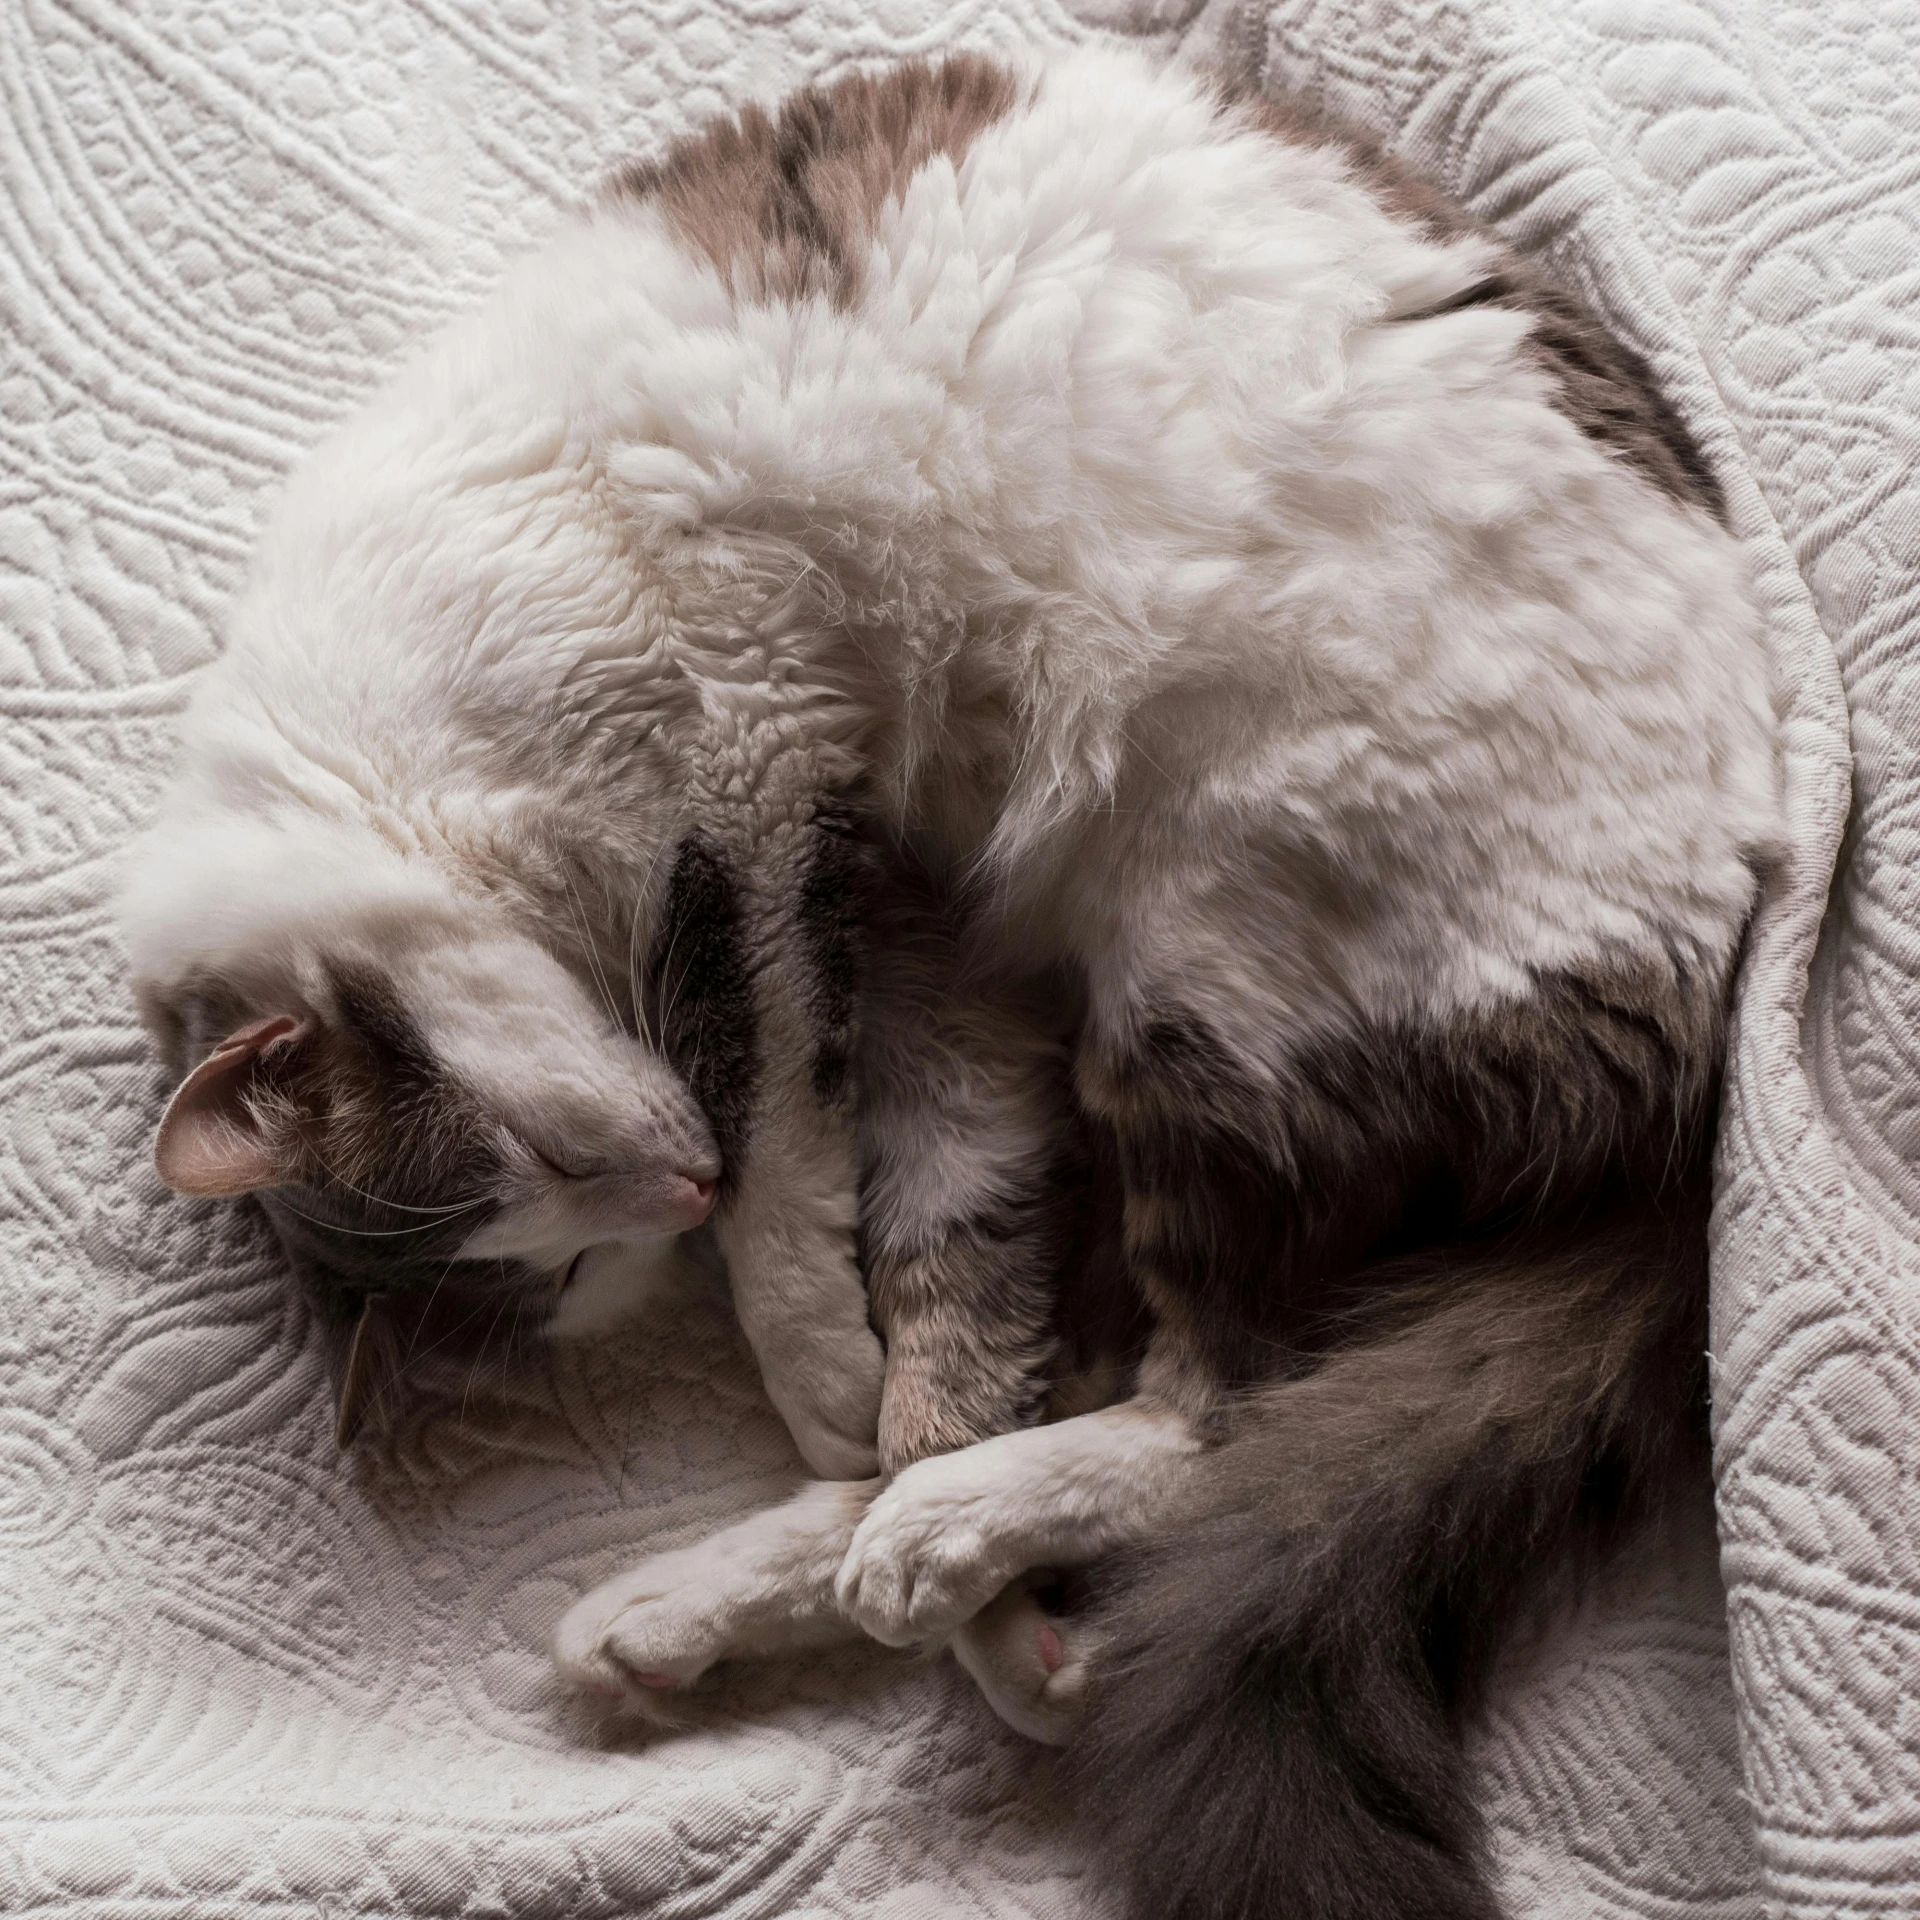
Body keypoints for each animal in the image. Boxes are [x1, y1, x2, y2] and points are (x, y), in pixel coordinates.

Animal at [120, 41, 1774, 1920]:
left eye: (546, 1172)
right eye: (571, 1268)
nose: (669, 1190)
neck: (376, 754)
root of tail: (1705, 1044)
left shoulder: (751, 792)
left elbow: (785, 1163)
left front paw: (814, 1364)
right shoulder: (925, 964)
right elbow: (943, 1272)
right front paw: (881, 1438)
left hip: (1213, 966)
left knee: (1221, 1427)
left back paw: (941, 1549)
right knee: (1129, 1406)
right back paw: (774, 1613)